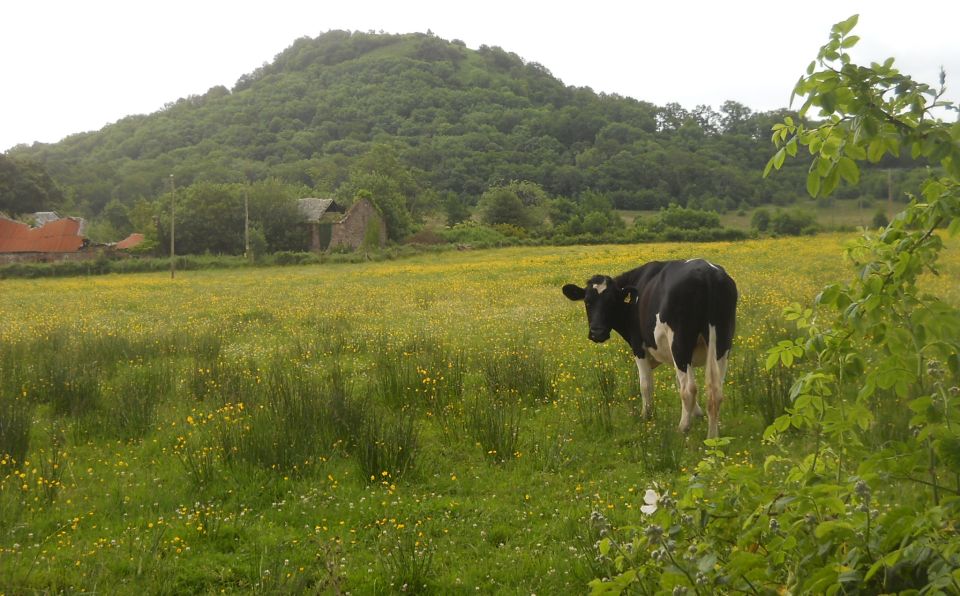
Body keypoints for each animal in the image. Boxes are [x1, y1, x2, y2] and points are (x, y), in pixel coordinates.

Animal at [560, 260, 740, 438]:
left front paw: (646, 416)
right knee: (715, 390)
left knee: (689, 389)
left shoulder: (638, 346)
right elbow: (678, 380)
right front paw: (697, 413)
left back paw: (683, 428)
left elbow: (645, 384)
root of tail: (707, 273)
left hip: (680, 343)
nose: (597, 332)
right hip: (721, 342)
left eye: (611, 302)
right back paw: (712, 437)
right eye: (587, 301)